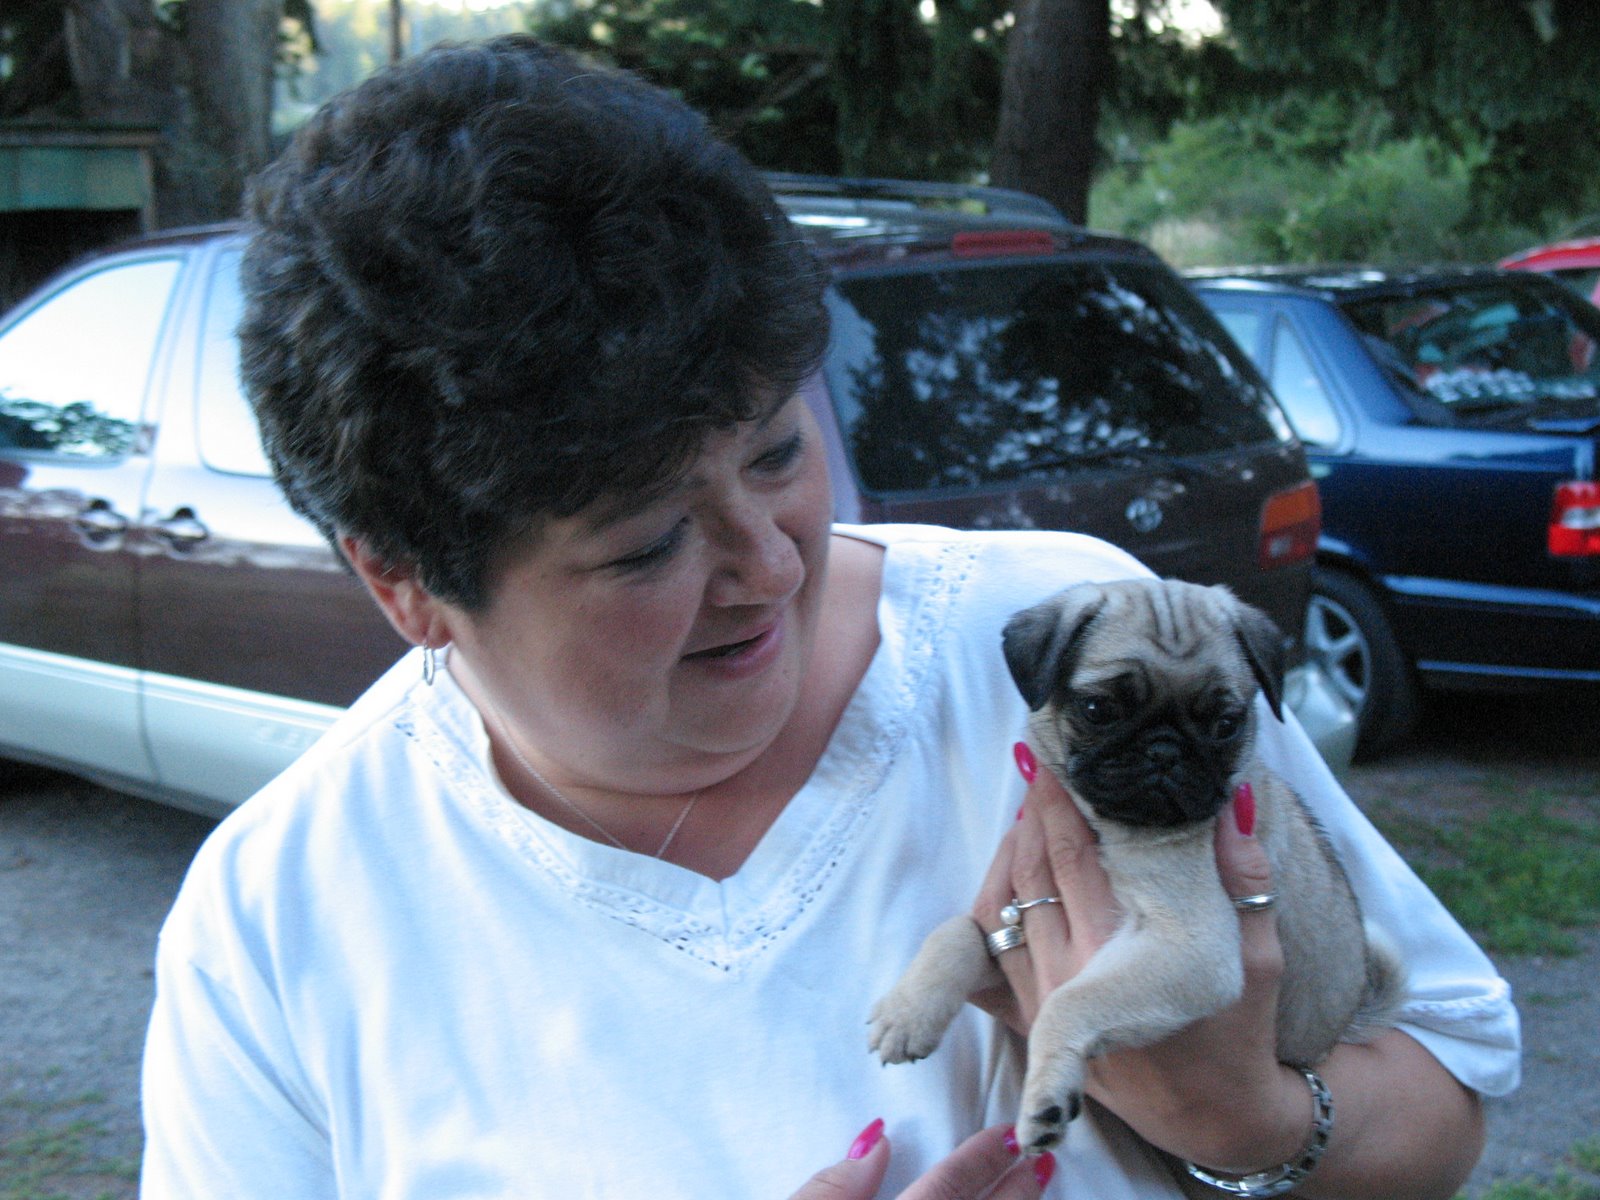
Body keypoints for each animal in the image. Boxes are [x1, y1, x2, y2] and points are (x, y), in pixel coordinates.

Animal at [868, 578, 1404, 1153]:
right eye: (1099, 708)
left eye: (1226, 724)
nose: (1164, 751)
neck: (1104, 827)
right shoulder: (1010, 926)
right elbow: (956, 933)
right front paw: (908, 1011)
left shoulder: (1191, 947)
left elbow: (1070, 1001)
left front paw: (1046, 1095)